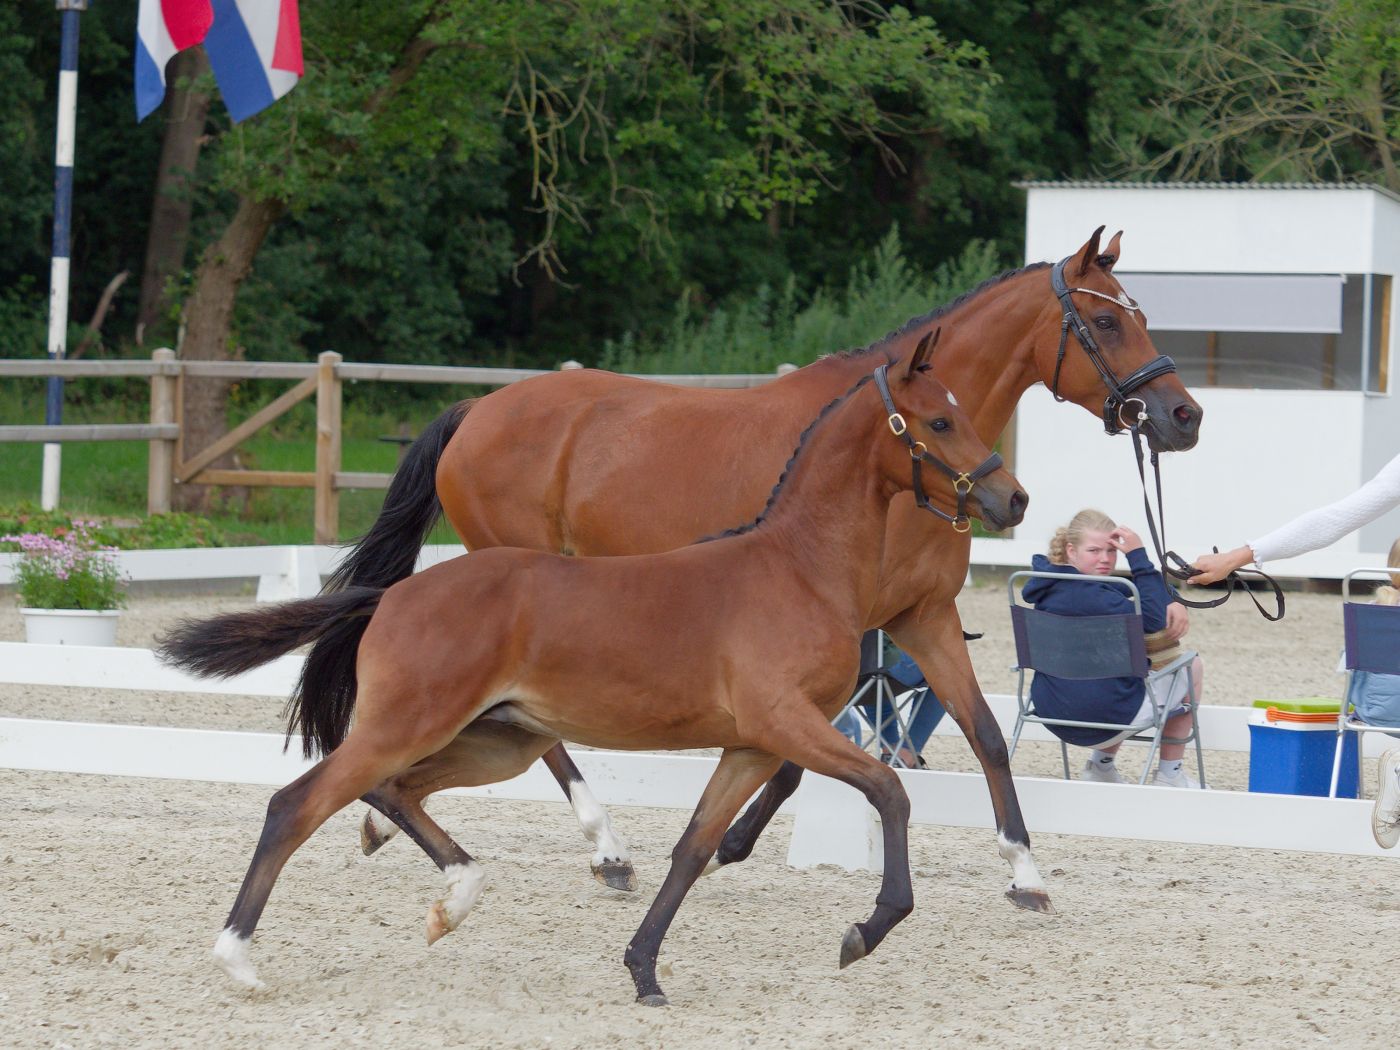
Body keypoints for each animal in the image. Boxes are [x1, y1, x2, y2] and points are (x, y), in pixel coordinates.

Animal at [160, 335, 1027, 1002]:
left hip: (495, 743)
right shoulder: (786, 722)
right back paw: (240, 960)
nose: (1012, 499)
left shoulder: (751, 743)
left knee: (391, 792)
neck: (799, 565)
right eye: (939, 419)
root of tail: (393, 594)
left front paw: (643, 970)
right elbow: (889, 791)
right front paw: (866, 931)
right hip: (412, 725)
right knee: (297, 804)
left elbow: (694, 846)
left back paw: (458, 898)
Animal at [326, 225, 1202, 906]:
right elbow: (795, 761)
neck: (887, 462)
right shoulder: (836, 638)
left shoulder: (920, 615)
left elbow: (985, 733)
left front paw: (1025, 873)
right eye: (1104, 320)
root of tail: (479, 407)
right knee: (534, 731)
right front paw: (728, 847)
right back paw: (603, 849)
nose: (1181, 416)